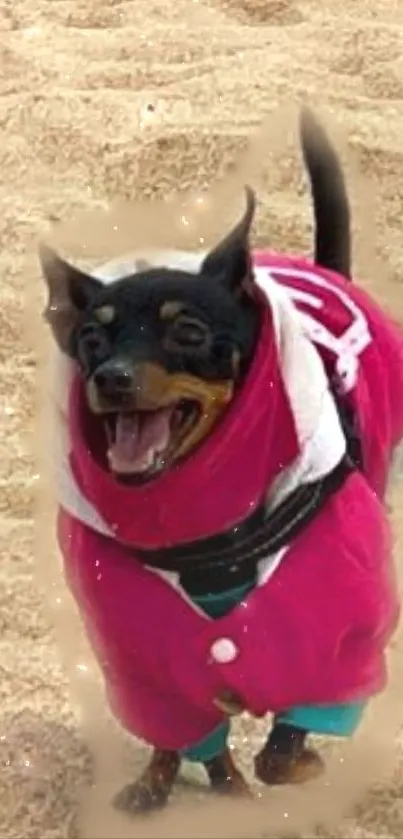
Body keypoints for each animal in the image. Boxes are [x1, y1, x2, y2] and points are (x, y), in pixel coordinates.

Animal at [39, 111, 403, 812]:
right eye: (90, 337)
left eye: (188, 332)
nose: (112, 378)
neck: (200, 532)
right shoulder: (140, 662)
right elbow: (182, 735)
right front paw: (180, 783)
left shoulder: (343, 641)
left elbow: (286, 746)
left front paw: (292, 760)